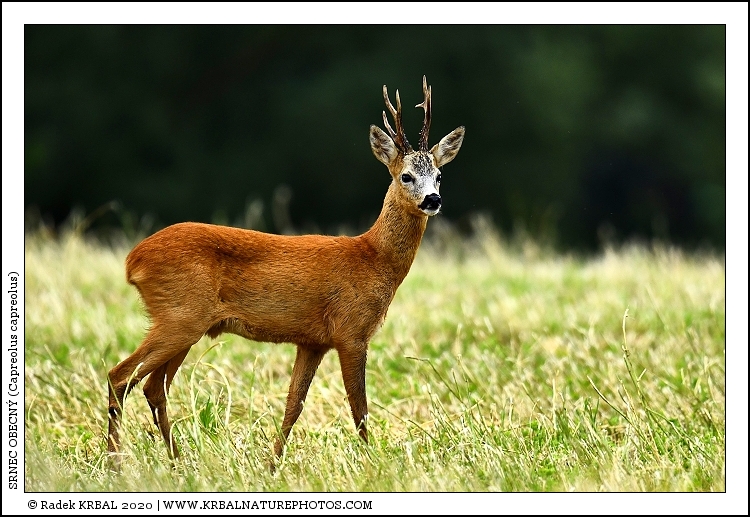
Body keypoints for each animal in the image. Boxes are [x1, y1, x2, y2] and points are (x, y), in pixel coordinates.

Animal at [107, 76, 465, 469]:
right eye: (406, 176)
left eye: (439, 175)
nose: (433, 200)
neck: (373, 257)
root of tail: (132, 261)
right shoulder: (352, 331)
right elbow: (359, 407)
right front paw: (373, 463)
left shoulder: (312, 341)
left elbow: (294, 404)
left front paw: (272, 463)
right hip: (180, 316)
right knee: (120, 376)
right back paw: (116, 463)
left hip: (184, 323)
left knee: (153, 387)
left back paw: (176, 461)